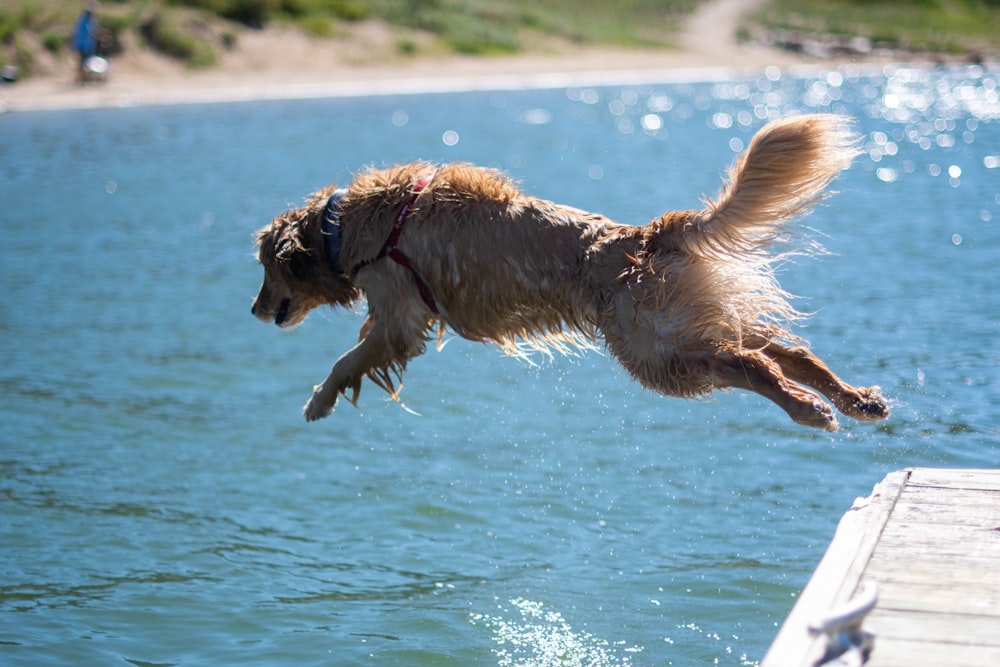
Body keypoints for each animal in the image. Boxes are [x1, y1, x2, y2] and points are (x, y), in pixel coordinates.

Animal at [252, 113, 892, 434]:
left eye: (263, 270)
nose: (255, 311)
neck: (345, 227)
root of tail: (648, 234)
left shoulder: (398, 315)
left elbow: (348, 360)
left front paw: (318, 400)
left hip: (658, 351)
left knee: (752, 365)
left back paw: (810, 410)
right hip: (693, 319)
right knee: (787, 351)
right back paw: (856, 399)